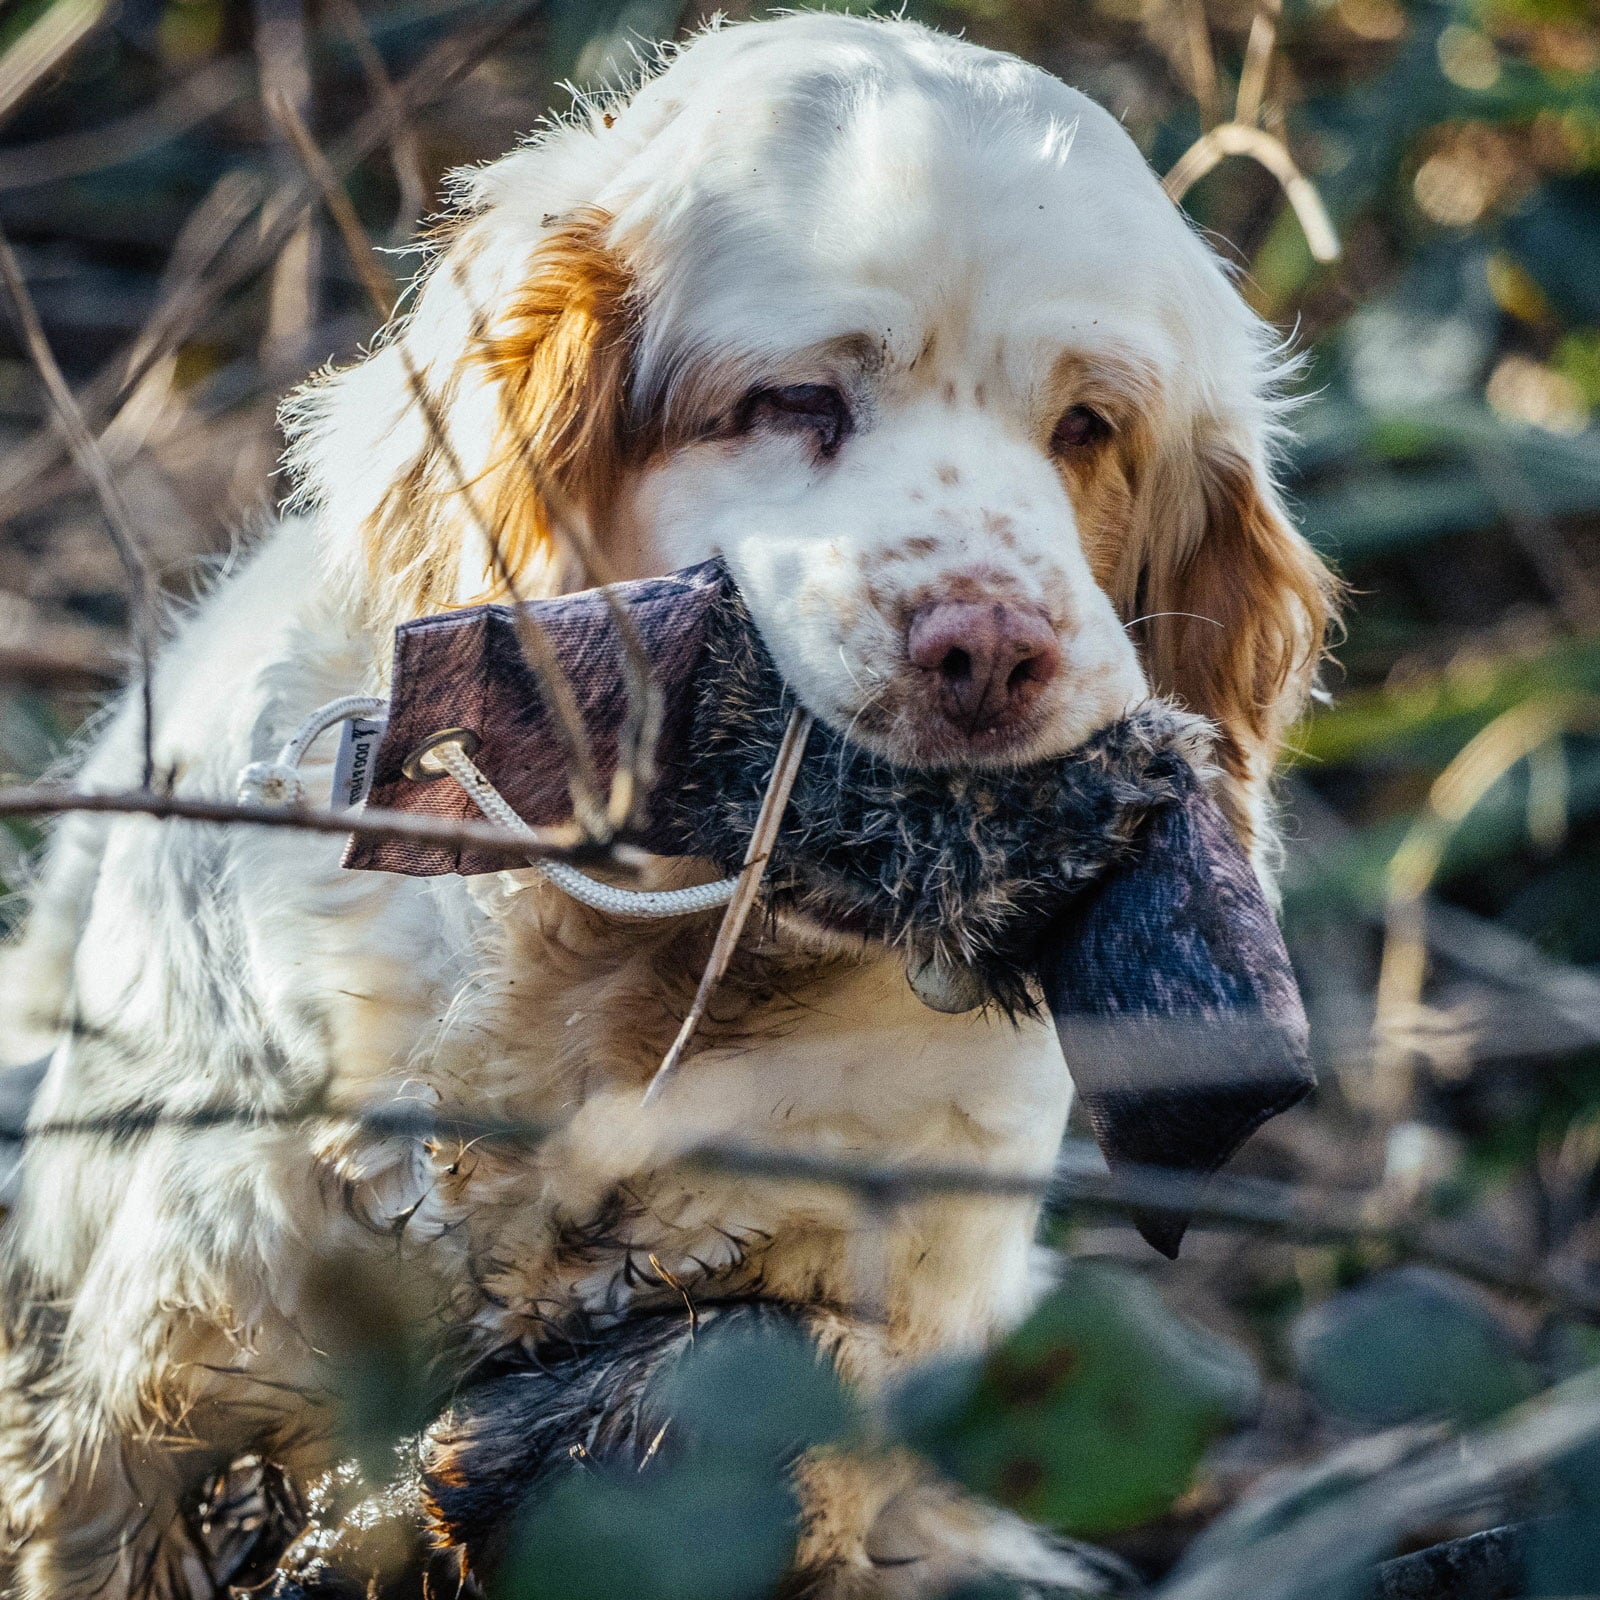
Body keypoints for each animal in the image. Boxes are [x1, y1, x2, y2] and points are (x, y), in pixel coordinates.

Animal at [0, 15, 1324, 1600]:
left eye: (1087, 427)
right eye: (795, 402)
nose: (991, 650)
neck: (629, 983)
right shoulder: (137, 1397)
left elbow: (772, 1378)